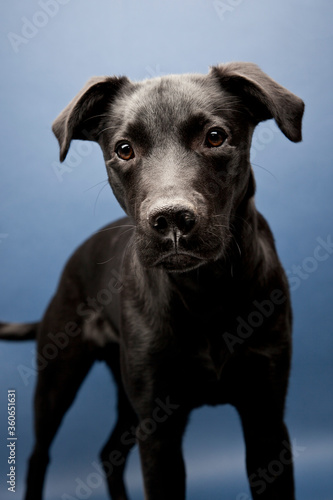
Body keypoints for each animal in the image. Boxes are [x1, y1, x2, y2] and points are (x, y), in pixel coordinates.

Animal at [0, 63, 302, 500]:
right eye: (124, 149)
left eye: (215, 136)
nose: (171, 218)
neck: (204, 291)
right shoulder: (158, 428)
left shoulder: (266, 419)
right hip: (59, 380)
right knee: (39, 456)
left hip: (126, 399)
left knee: (109, 452)